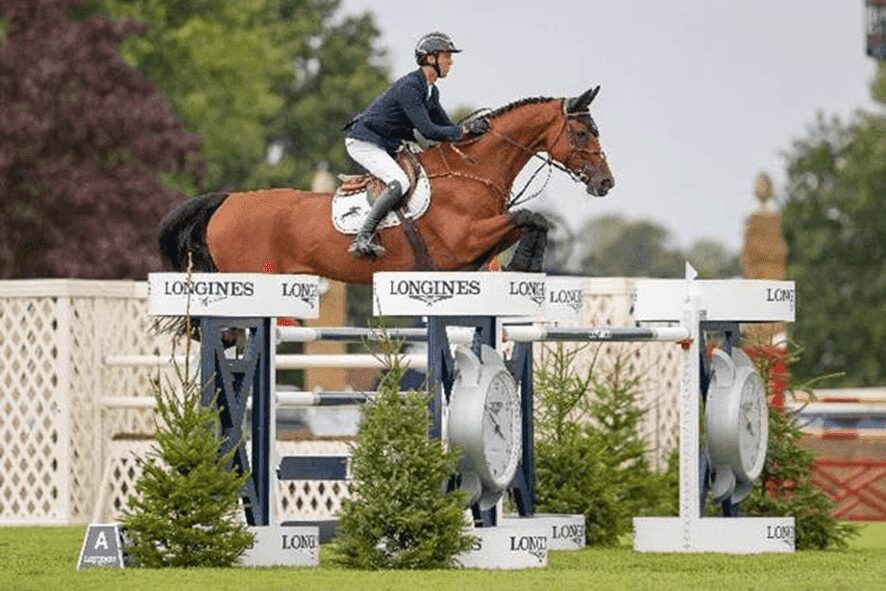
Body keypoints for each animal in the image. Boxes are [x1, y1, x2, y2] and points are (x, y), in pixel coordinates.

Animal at [160, 85, 612, 284]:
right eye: (581, 133)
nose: (606, 182)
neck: (472, 170)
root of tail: (228, 201)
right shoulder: (465, 240)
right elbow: (530, 217)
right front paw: (524, 265)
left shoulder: (476, 248)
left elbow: (532, 221)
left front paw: (526, 265)